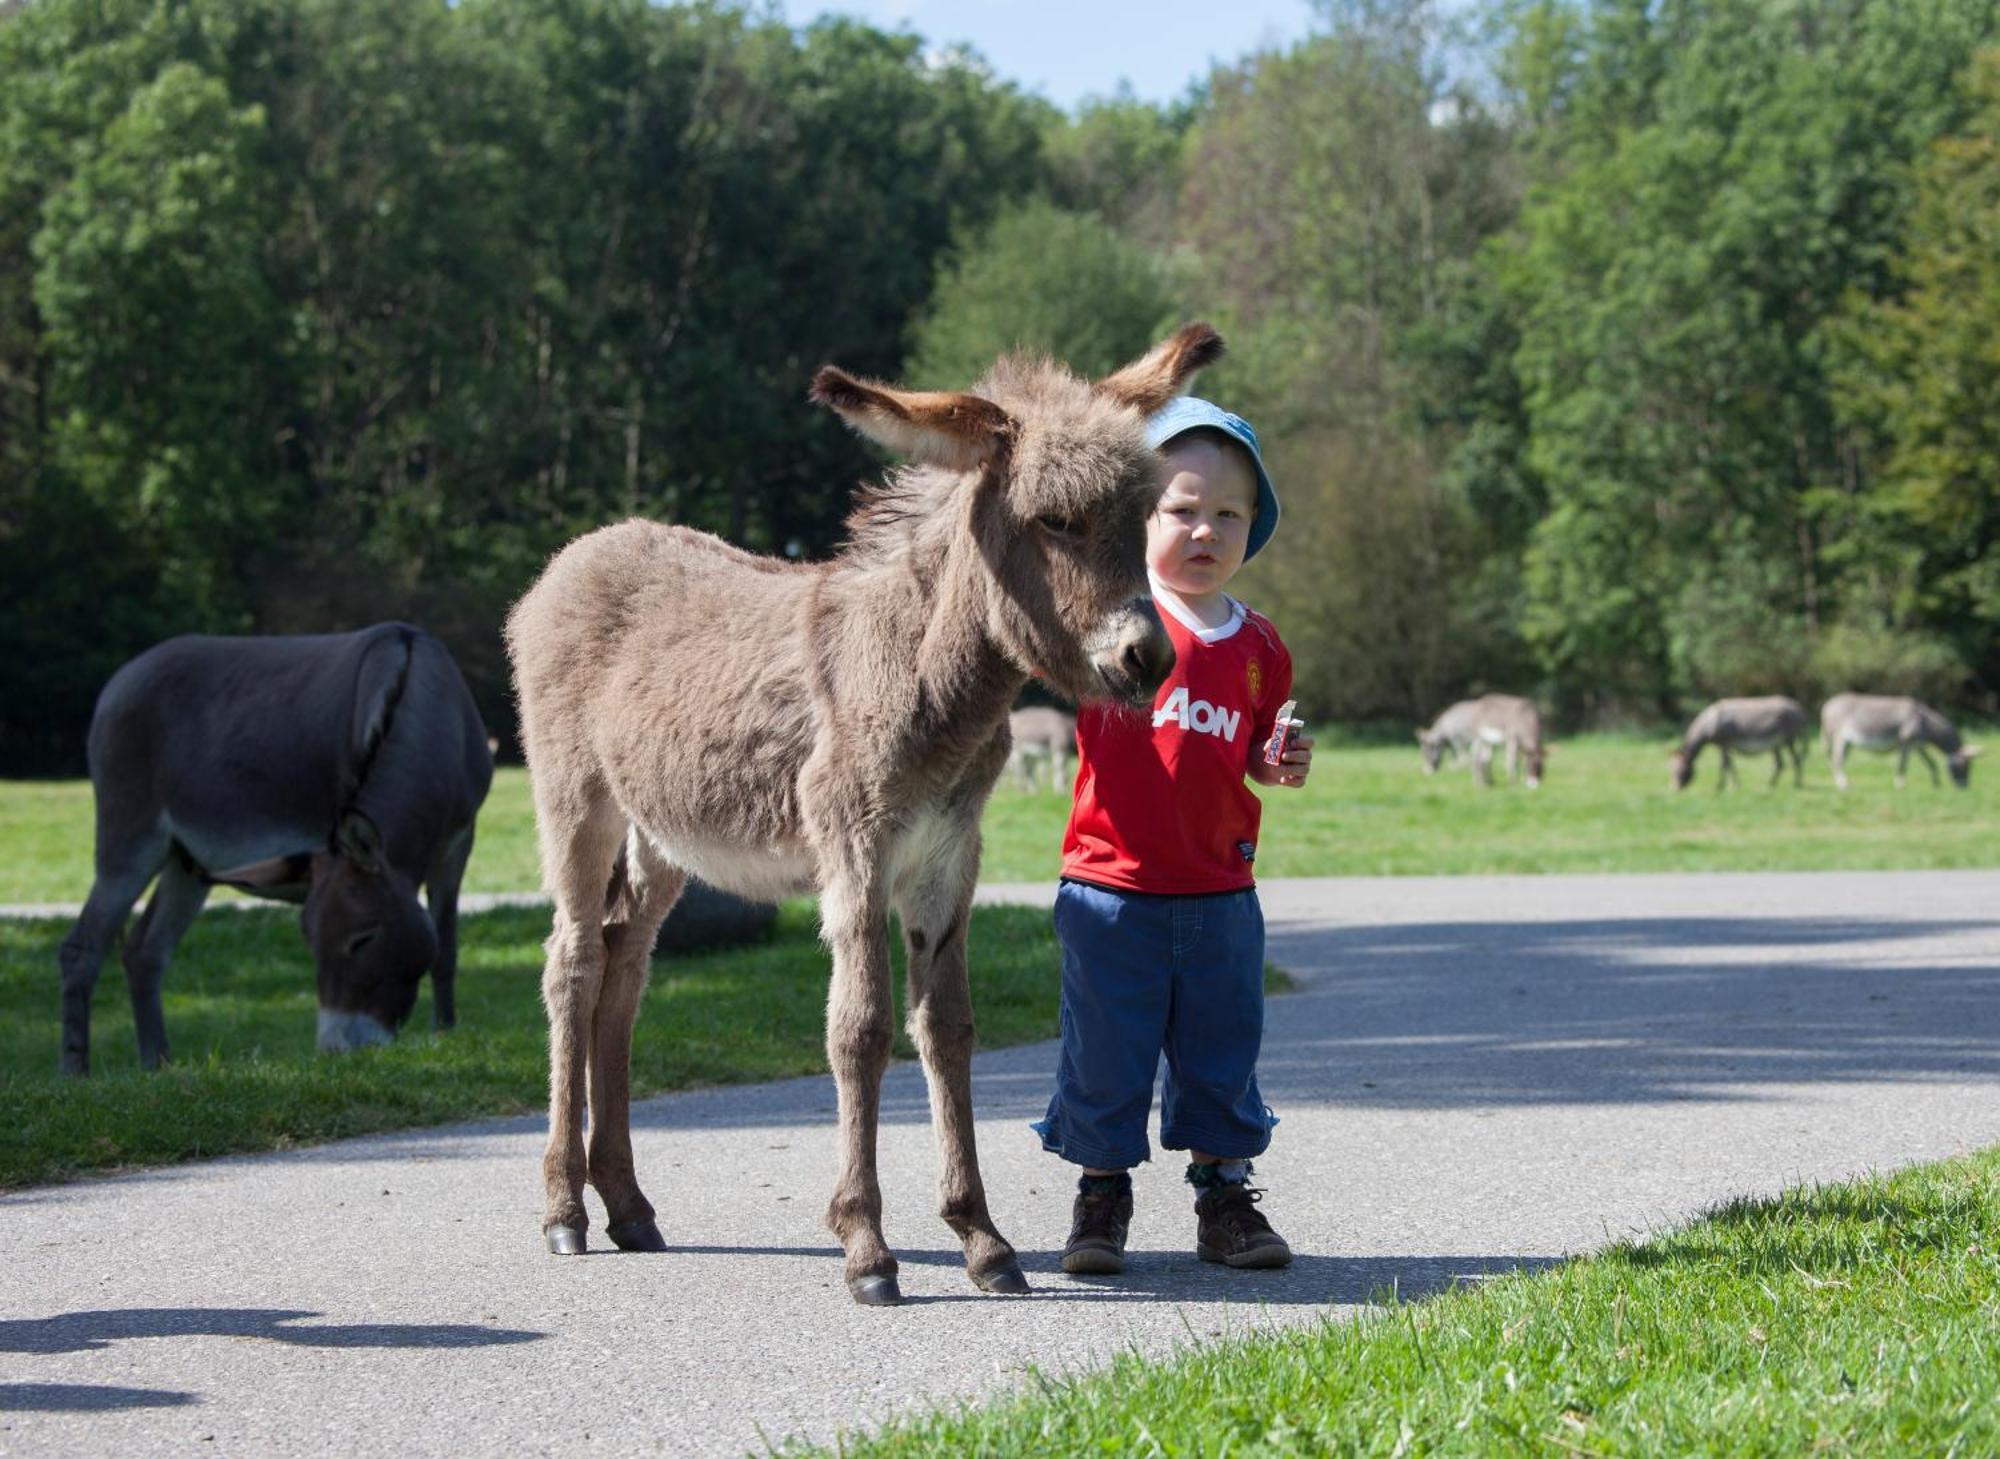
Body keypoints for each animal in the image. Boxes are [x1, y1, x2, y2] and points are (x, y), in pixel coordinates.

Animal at [504, 323, 1216, 1303]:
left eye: (1143, 519)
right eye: (1055, 520)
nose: (1149, 659)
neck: (927, 672)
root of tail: (580, 552)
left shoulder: (948, 855)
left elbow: (946, 1028)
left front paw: (981, 1238)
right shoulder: (855, 848)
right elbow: (861, 1028)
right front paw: (867, 1246)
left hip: (663, 843)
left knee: (625, 970)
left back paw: (629, 1207)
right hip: (578, 805)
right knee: (571, 965)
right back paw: (564, 1210)